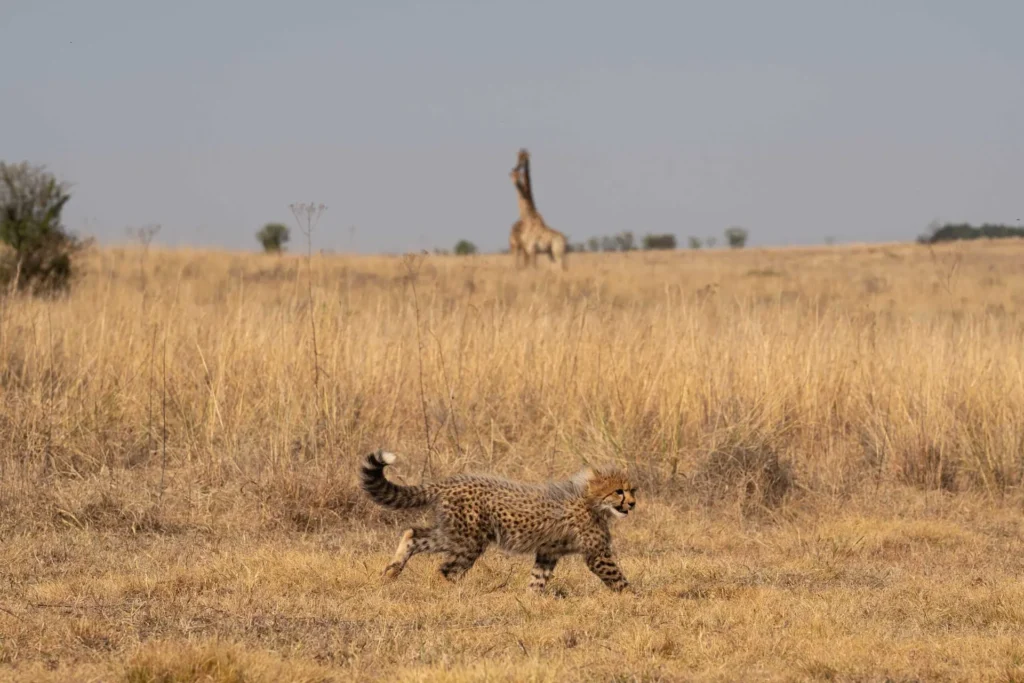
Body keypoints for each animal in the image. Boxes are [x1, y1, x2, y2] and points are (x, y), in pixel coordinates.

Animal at [360, 450, 636, 593]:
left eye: (632, 490)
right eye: (619, 491)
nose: (632, 504)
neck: (591, 501)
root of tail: (451, 481)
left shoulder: (548, 552)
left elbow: (538, 579)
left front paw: (533, 599)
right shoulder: (597, 555)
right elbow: (618, 579)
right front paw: (634, 598)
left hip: (455, 534)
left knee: (413, 534)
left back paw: (392, 571)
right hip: (469, 540)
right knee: (446, 569)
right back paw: (451, 594)